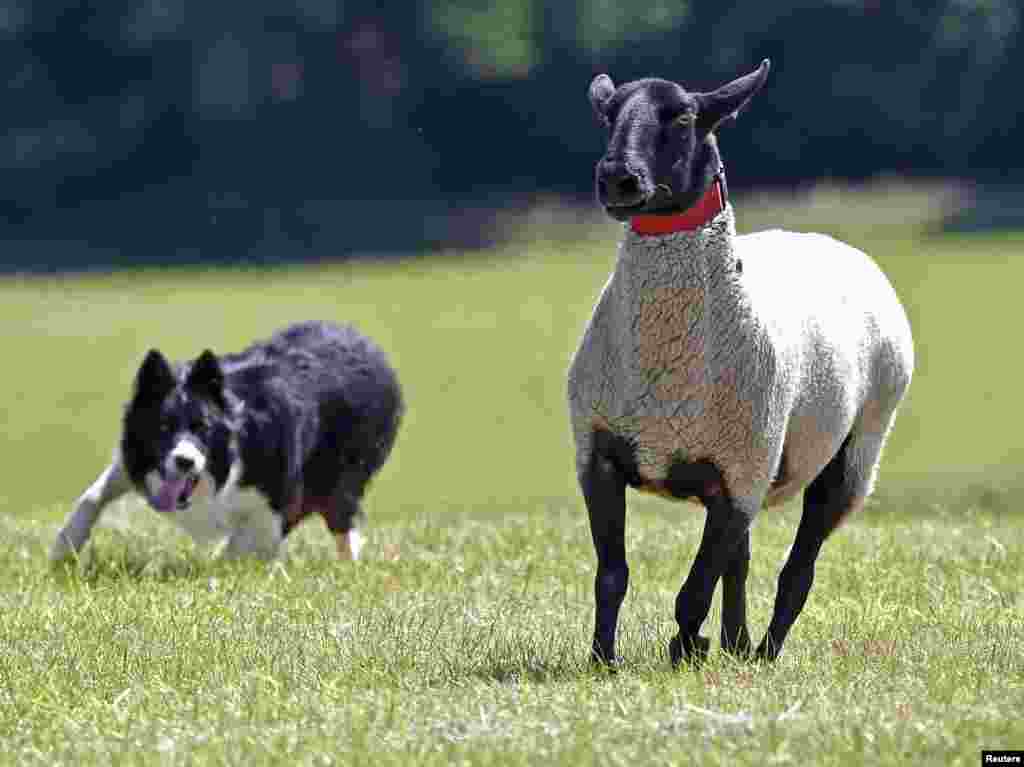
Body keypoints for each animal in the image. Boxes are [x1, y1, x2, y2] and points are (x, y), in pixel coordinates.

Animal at [569, 59, 913, 663]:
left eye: (684, 117)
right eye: (608, 115)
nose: (616, 179)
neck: (666, 360)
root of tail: (829, 240)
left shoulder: (740, 478)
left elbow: (692, 593)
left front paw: (684, 651)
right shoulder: (599, 455)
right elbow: (613, 576)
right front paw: (603, 661)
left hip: (852, 451)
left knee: (797, 572)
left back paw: (763, 653)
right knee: (742, 563)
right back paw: (736, 643)